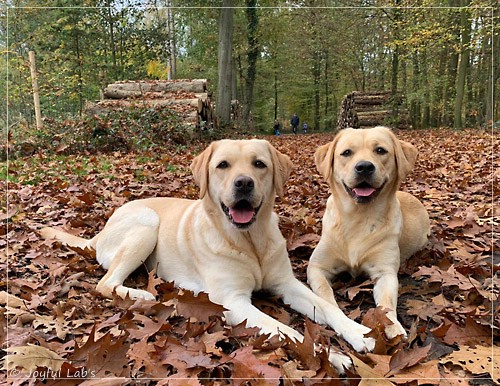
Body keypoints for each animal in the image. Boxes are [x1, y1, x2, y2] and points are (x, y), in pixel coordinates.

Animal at [41, 139, 376, 370]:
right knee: (106, 282)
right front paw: (332, 356)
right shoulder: (233, 301)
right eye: (223, 165)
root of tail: (101, 230)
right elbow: (287, 330)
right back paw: (141, 294)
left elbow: (328, 308)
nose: (243, 183)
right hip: (146, 223)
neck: (249, 242)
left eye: (259, 164)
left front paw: (359, 332)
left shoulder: (287, 284)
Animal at [308, 126, 430, 338]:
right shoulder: (316, 267)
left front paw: (394, 327)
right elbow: (326, 295)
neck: (358, 218)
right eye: (346, 152)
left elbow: (387, 304)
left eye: (380, 150)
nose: (364, 167)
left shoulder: (385, 272)